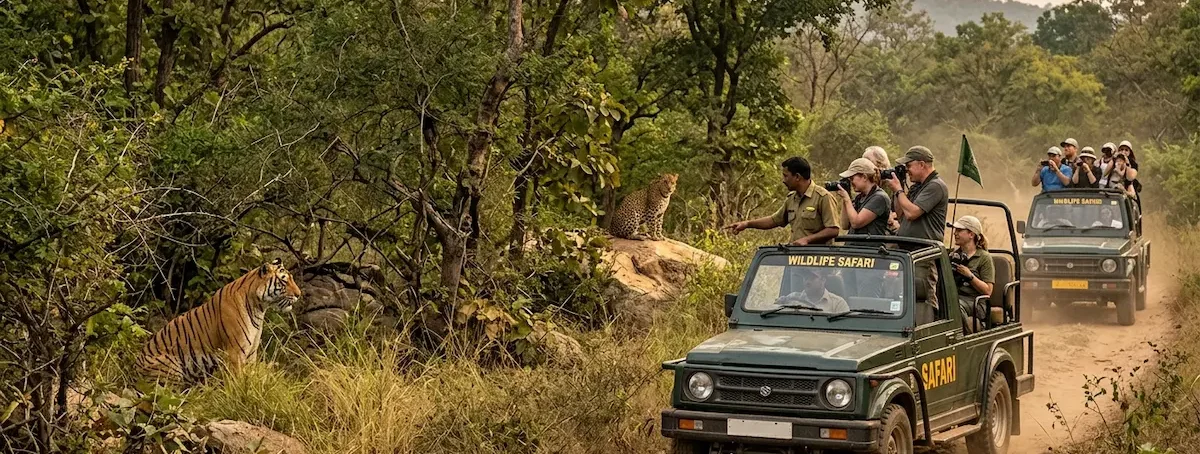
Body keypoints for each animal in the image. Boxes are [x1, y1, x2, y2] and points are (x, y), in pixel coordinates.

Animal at [135, 258, 302, 383]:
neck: (259, 307)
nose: (299, 294)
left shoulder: (252, 352)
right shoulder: (235, 353)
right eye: (284, 282)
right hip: (171, 366)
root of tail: (135, 366)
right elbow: (238, 380)